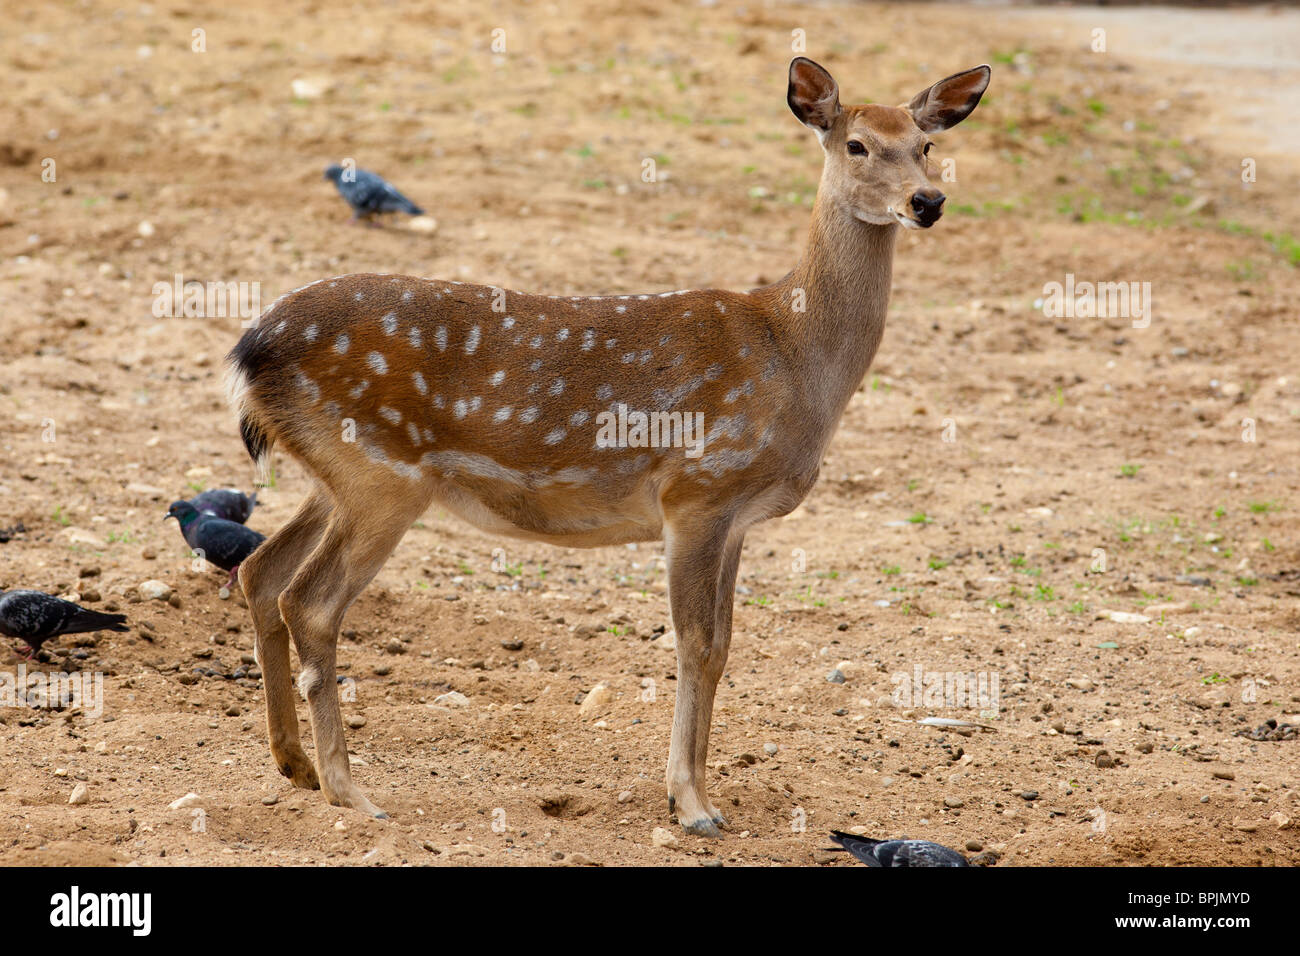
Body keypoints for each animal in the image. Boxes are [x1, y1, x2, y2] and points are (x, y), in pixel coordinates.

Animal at [228, 57, 987, 837]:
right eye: (857, 144)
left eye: (926, 144)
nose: (928, 200)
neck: (795, 352)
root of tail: (249, 351)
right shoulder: (698, 490)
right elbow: (696, 644)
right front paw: (691, 804)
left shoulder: (736, 517)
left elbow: (722, 645)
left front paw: (698, 796)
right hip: (381, 476)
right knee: (310, 601)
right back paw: (349, 791)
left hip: (335, 475)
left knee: (259, 571)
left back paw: (294, 764)